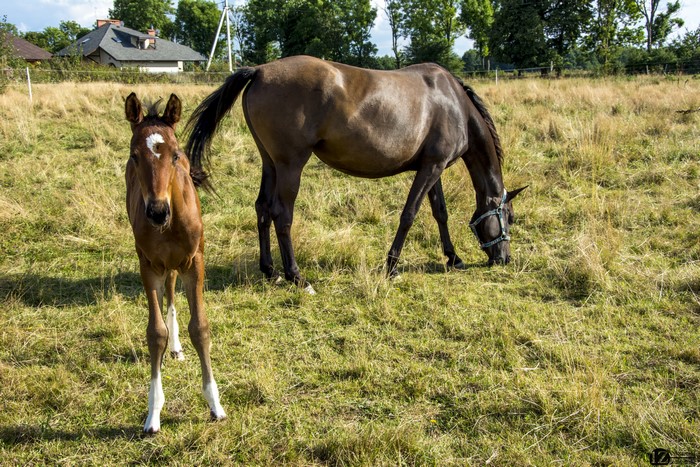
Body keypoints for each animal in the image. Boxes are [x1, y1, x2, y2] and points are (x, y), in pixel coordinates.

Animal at [124, 92, 225, 433]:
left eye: (175, 155)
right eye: (134, 156)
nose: (157, 212)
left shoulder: (194, 262)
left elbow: (201, 328)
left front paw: (215, 405)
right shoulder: (148, 264)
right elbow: (155, 333)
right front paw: (153, 413)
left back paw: (178, 346)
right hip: (162, 264)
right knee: (168, 290)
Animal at [185, 55, 525, 293]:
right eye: (509, 216)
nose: (504, 259)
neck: (455, 104)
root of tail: (259, 70)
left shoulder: (433, 167)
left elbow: (439, 212)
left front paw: (453, 258)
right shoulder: (431, 167)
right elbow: (409, 214)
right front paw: (391, 266)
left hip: (269, 163)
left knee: (262, 209)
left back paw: (270, 271)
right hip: (290, 165)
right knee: (281, 214)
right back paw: (296, 277)